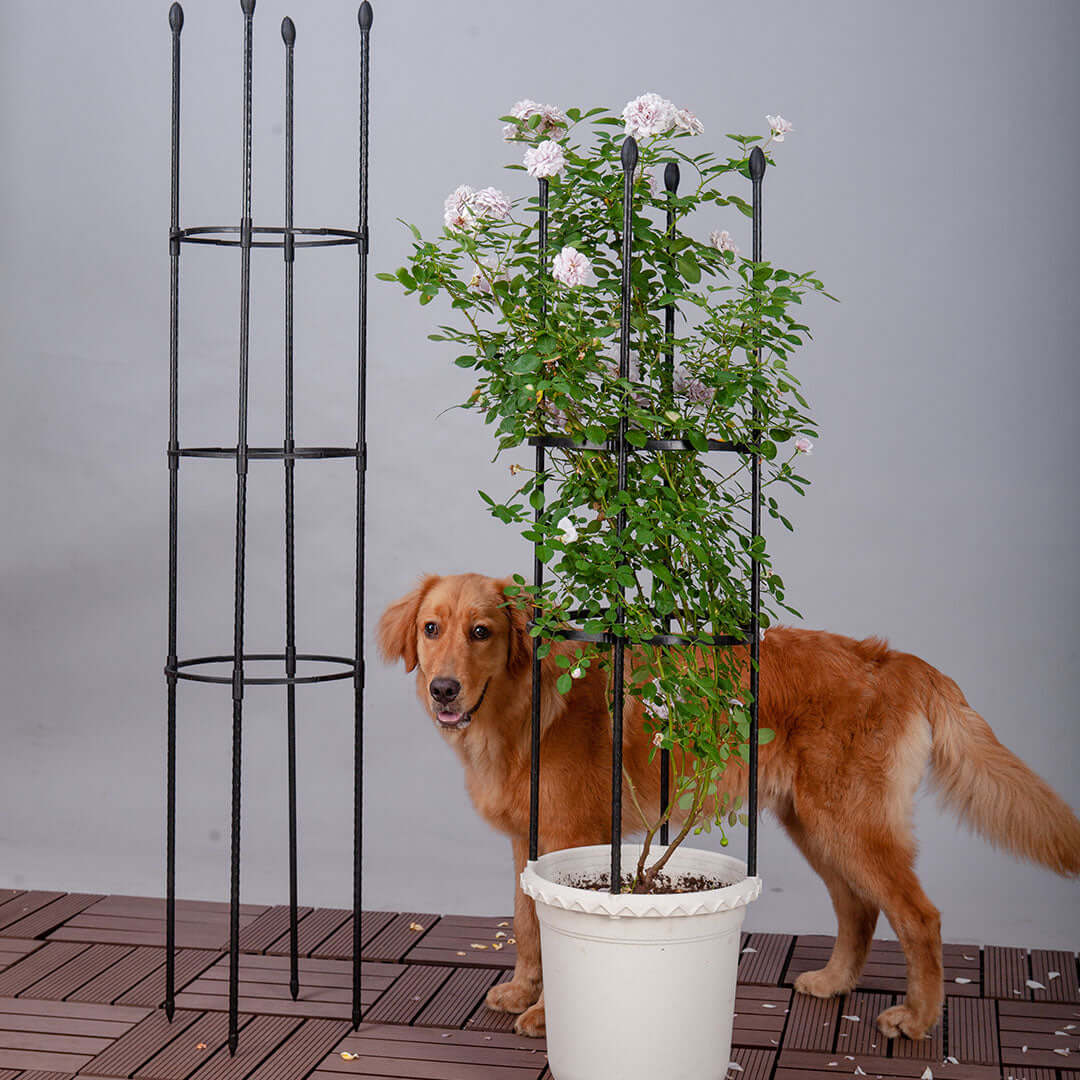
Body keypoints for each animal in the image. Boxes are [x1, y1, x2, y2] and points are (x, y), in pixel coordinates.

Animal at [378, 574, 1080, 1036]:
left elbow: (551, 932)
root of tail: (895, 660)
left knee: (919, 916)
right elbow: (527, 924)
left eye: (481, 632)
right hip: (814, 823)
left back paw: (918, 1019)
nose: (443, 688)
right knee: (858, 907)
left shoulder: (572, 839)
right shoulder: (529, 844)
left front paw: (548, 1014)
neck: (525, 710)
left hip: (849, 823)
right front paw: (524, 990)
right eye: (430, 629)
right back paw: (833, 983)